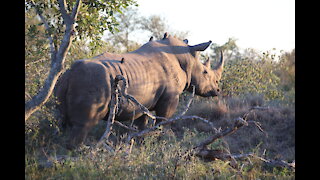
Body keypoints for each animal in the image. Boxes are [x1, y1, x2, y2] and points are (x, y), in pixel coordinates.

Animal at [55, 32, 224, 149]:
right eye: (205, 72)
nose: (217, 90)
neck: (186, 60)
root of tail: (70, 72)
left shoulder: (143, 102)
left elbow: (141, 125)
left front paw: (140, 145)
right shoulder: (170, 98)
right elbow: (163, 121)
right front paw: (159, 143)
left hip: (63, 82)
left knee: (61, 123)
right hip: (92, 81)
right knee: (82, 125)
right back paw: (77, 153)